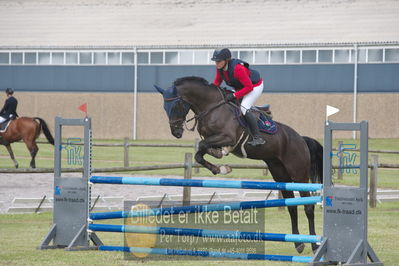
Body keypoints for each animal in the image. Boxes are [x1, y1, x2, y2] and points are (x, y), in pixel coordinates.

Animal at [155, 77, 324, 254]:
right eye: (164, 107)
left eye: (176, 105)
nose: (176, 133)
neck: (210, 107)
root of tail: (301, 139)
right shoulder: (210, 139)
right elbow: (199, 153)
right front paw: (219, 167)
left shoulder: (227, 137)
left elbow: (203, 145)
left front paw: (220, 155)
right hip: (279, 173)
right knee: (291, 206)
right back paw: (298, 244)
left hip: (299, 174)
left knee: (308, 206)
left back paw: (314, 245)